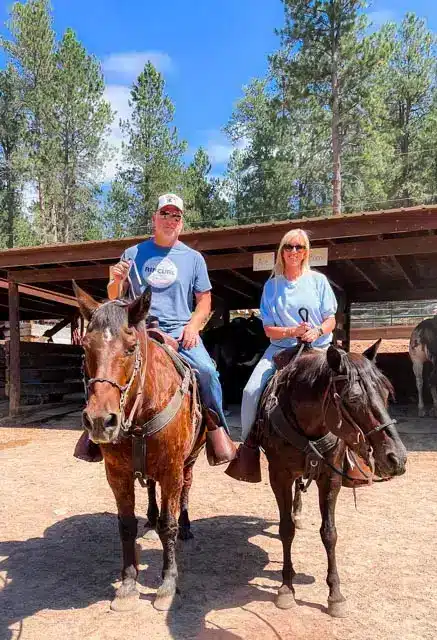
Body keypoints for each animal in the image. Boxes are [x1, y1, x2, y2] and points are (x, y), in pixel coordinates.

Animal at [73, 284, 208, 608]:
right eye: (85, 347)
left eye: (131, 348)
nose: (101, 420)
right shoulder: (117, 474)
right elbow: (126, 525)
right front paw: (128, 584)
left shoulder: (172, 471)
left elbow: (169, 523)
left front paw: (167, 584)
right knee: (149, 490)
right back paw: (150, 519)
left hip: (190, 460)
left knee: (186, 488)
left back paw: (185, 525)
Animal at [252, 342, 406, 616]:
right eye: (353, 398)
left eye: (387, 393)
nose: (396, 458)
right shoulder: (279, 476)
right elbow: (286, 530)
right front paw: (286, 588)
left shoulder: (330, 478)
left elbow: (329, 533)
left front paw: (335, 595)